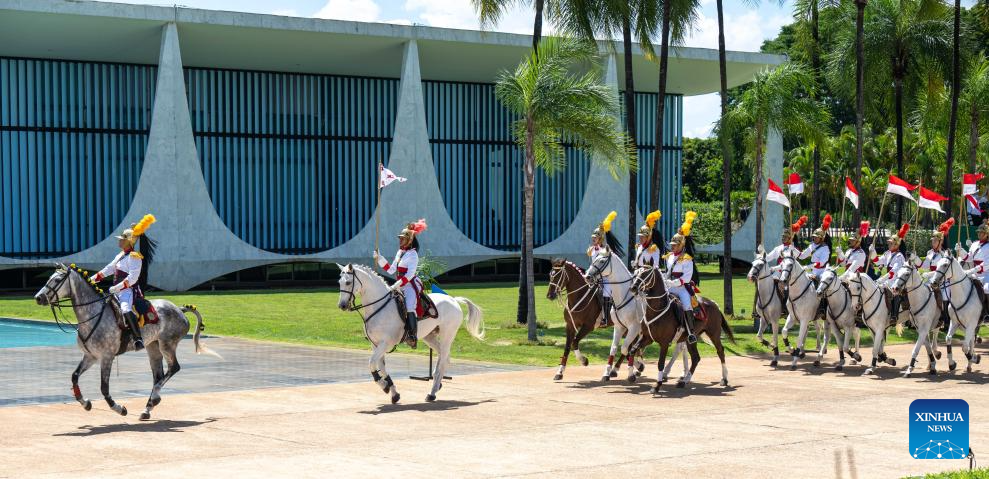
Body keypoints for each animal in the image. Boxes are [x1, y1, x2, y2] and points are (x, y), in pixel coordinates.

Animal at [33, 266, 215, 420]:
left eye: (57, 280)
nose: (38, 298)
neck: (92, 315)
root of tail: (178, 309)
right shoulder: (90, 356)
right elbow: (74, 376)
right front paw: (85, 403)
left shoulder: (107, 357)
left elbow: (104, 388)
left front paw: (119, 408)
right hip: (153, 347)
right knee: (158, 376)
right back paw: (148, 407)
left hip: (167, 345)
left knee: (173, 368)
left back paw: (155, 397)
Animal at [334, 264, 484, 404]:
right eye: (340, 282)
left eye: (348, 282)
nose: (342, 305)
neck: (378, 307)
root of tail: (453, 300)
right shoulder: (375, 344)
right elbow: (381, 367)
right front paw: (393, 392)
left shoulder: (385, 344)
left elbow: (371, 363)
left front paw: (384, 385)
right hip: (430, 337)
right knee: (444, 356)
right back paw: (437, 384)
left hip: (447, 335)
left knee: (443, 358)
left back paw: (432, 392)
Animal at [584, 251, 644, 382]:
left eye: (602, 261)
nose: (587, 276)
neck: (625, 296)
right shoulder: (619, 327)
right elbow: (615, 348)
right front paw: (607, 373)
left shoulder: (634, 328)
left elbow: (625, 349)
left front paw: (632, 373)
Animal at [624, 266, 732, 394]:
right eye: (636, 273)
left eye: (646, 273)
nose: (633, 288)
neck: (657, 309)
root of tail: (714, 304)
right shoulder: (647, 338)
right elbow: (632, 351)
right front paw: (632, 374)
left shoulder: (664, 343)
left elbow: (660, 363)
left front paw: (657, 385)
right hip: (691, 340)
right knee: (696, 358)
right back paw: (684, 381)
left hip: (714, 334)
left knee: (720, 352)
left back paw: (724, 378)